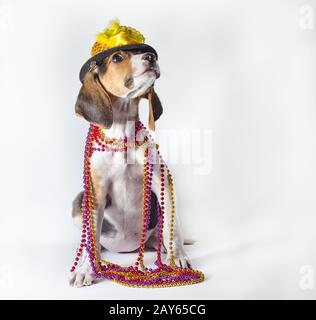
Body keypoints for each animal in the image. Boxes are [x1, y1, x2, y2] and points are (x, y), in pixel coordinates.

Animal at [69, 48, 190, 288]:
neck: (123, 137)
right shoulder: (95, 192)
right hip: (79, 200)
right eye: (117, 57)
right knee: (93, 241)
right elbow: (90, 238)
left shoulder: (163, 182)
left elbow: (172, 229)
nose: (151, 57)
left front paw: (177, 258)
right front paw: (85, 269)